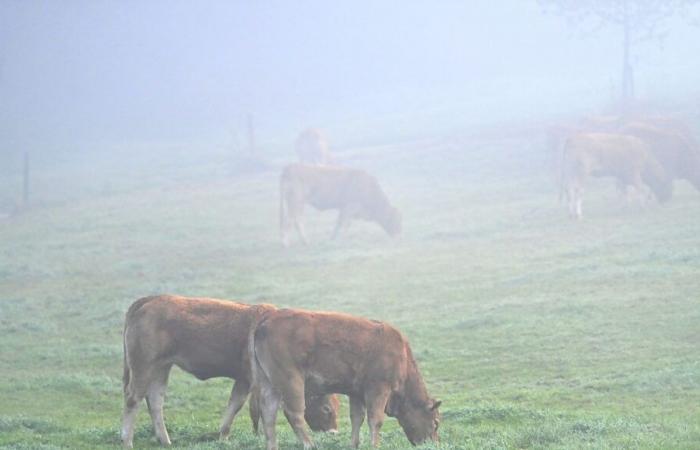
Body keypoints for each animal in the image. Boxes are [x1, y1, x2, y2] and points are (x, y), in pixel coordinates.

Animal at [120, 298, 340, 448]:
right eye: (327, 408)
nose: (334, 433)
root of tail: (150, 300)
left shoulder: (246, 381)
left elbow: (235, 406)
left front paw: (223, 436)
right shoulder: (250, 381)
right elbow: (245, 407)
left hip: (161, 368)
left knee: (155, 401)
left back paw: (165, 440)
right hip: (143, 366)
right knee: (133, 399)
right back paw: (127, 441)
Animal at [249, 308, 440, 450]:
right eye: (436, 422)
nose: (435, 444)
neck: (402, 356)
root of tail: (267, 320)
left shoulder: (356, 393)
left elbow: (357, 418)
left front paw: (354, 444)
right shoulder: (378, 389)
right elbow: (375, 420)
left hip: (269, 383)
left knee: (268, 413)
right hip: (291, 381)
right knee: (293, 413)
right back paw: (310, 444)